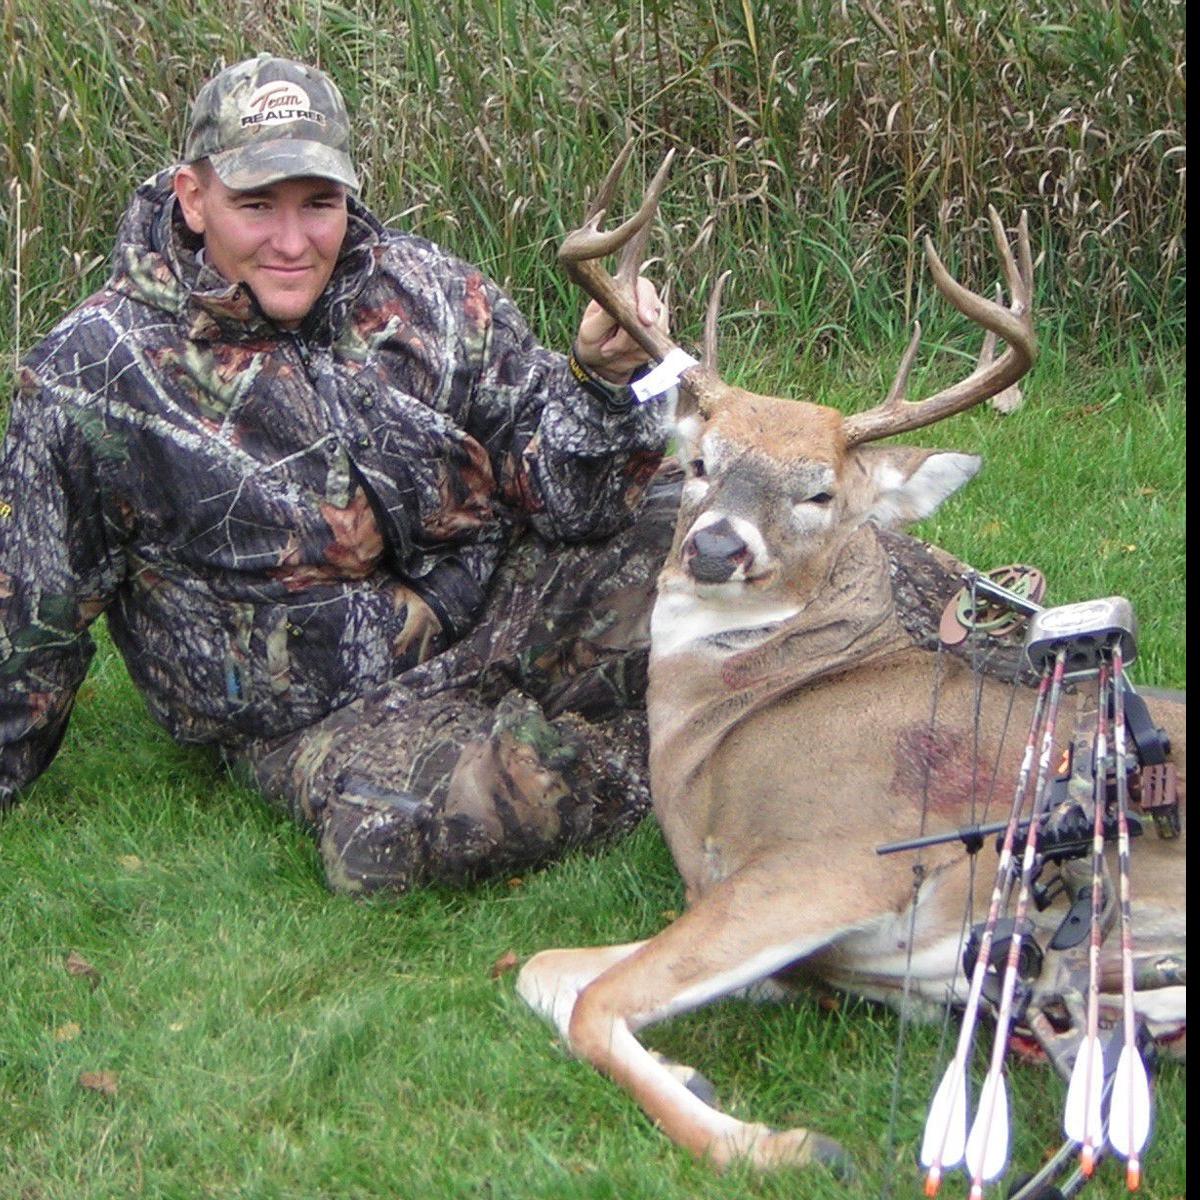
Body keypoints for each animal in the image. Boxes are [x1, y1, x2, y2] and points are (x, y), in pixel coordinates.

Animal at [516, 144, 1187, 1183]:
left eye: (819, 492)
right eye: (699, 462)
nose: (716, 549)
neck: (724, 733)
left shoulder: (828, 860)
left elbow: (593, 1002)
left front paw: (784, 1143)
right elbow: (542, 970)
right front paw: (696, 1072)